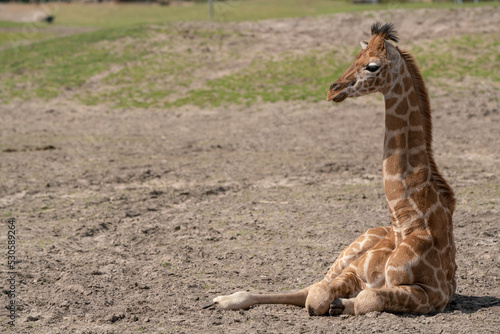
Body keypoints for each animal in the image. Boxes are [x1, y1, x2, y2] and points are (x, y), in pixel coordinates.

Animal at [203, 22, 458, 316]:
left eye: (372, 66)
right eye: (354, 58)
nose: (333, 89)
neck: (407, 220)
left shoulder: (434, 294)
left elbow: (366, 299)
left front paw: (342, 304)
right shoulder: (354, 273)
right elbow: (318, 296)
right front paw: (336, 303)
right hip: (345, 254)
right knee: (309, 286)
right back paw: (220, 299)